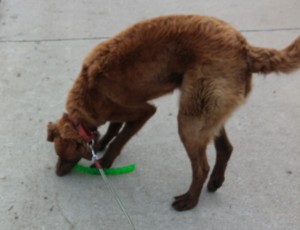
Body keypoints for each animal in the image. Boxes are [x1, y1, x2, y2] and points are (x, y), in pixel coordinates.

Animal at [47, 15, 300, 211]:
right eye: (58, 154)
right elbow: (113, 127)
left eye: (67, 157)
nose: (57, 174)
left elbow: (120, 139)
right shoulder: (117, 110)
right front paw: (100, 143)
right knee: (225, 148)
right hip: (207, 113)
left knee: (201, 167)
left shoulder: (143, 111)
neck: (90, 91)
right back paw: (216, 182)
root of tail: (245, 49)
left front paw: (106, 161)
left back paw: (190, 201)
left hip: (190, 120)